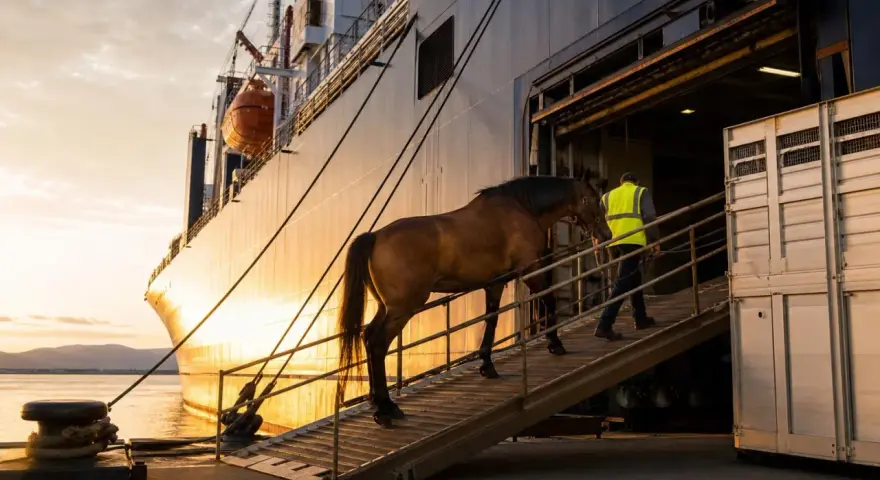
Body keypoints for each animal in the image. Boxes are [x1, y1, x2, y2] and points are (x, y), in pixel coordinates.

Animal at [336, 173, 611, 427]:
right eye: (595, 199)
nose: (606, 234)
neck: (522, 208)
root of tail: (375, 236)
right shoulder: (531, 270)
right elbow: (549, 300)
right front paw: (555, 344)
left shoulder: (495, 282)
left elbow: (491, 320)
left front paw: (487, 365)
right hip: (401, 310)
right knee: (377, 344)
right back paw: (386, 408)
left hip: (385, 308)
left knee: (368, 337)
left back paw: (377, 401)